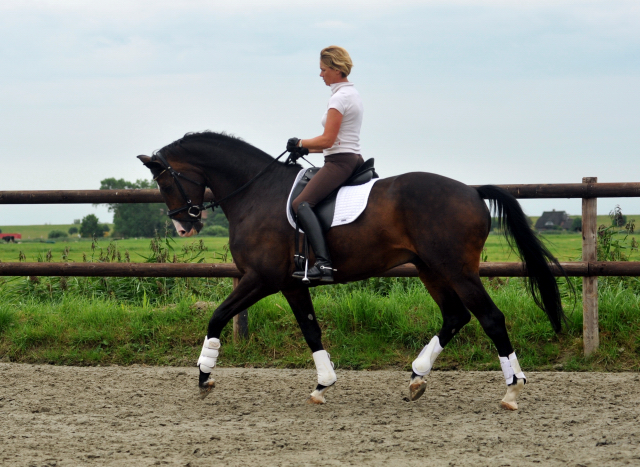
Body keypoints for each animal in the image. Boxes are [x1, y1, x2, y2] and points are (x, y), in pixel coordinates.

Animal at [140, 131, 564, 410]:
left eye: (165, 180)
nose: (183, 226)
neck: (256, 193)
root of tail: (472, 191)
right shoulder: (291, 284)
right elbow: (311, 329)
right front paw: (322, 384)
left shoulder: (260, 278)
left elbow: (217, 316)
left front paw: (204, 375)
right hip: (430, 268)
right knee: (455, 315)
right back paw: (417, 377)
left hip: (457, 269)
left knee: (490, 318)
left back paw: (512, 390)